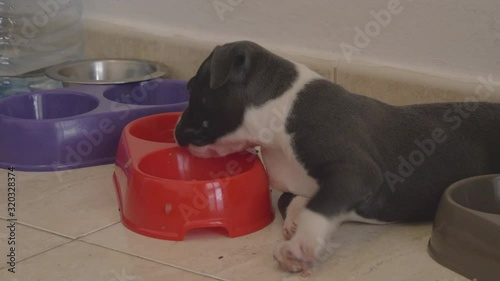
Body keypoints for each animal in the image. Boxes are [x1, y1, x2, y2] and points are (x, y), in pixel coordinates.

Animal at [175, 41, 500, 272]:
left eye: (191, 87)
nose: (176, 132)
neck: (279, 110)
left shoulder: (357, 172)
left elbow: (321, 205)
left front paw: (300, 246)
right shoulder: (299, 183)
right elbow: (291, 199)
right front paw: (295, 221)